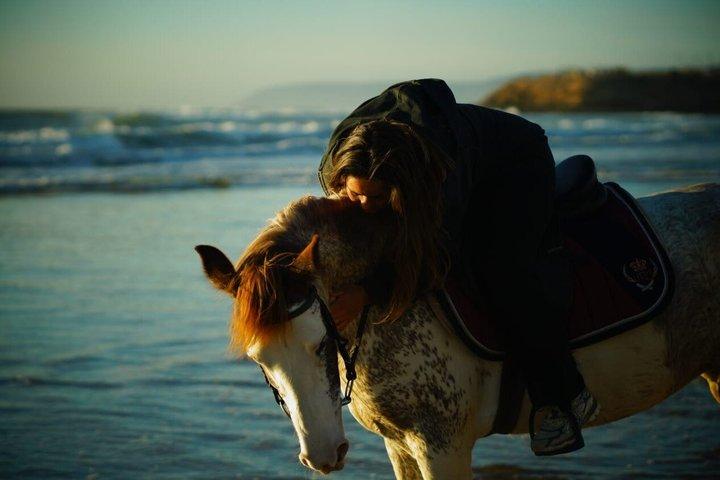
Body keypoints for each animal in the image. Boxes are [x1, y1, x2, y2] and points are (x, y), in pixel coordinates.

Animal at [196, 183, 720, 479]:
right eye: (260, 362)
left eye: (321, 342)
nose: (324, 456)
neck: (388, 301)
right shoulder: (400, 447)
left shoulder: (441, 447)